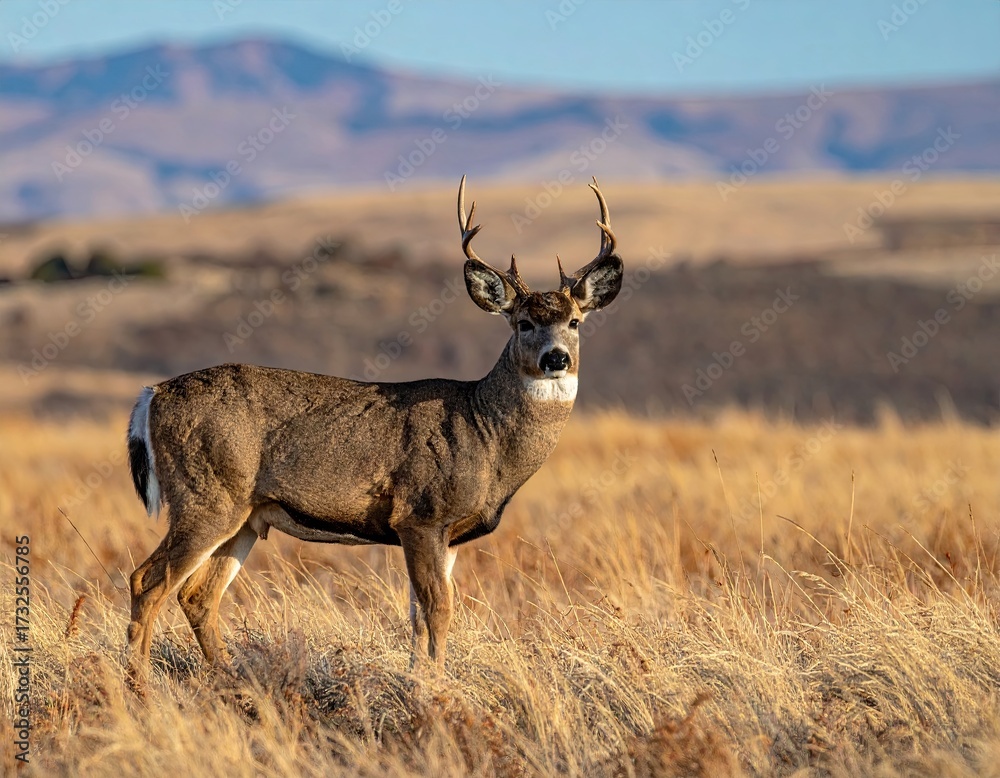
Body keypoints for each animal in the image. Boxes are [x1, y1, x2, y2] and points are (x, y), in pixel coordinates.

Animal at [125, 176, 624, 679]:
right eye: (523, 323)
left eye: (575, 321)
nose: (555, 358)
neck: (485, 433)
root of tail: (153, 394)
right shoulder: (421, 514)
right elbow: (439, 610)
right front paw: (436, 684)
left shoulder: (448, 534)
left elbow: (419, 615)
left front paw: (419, 678)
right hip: (205, 495)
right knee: (147, 579)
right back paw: (140, 684)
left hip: (247, 514)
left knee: (197, 595)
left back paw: (229, 678)